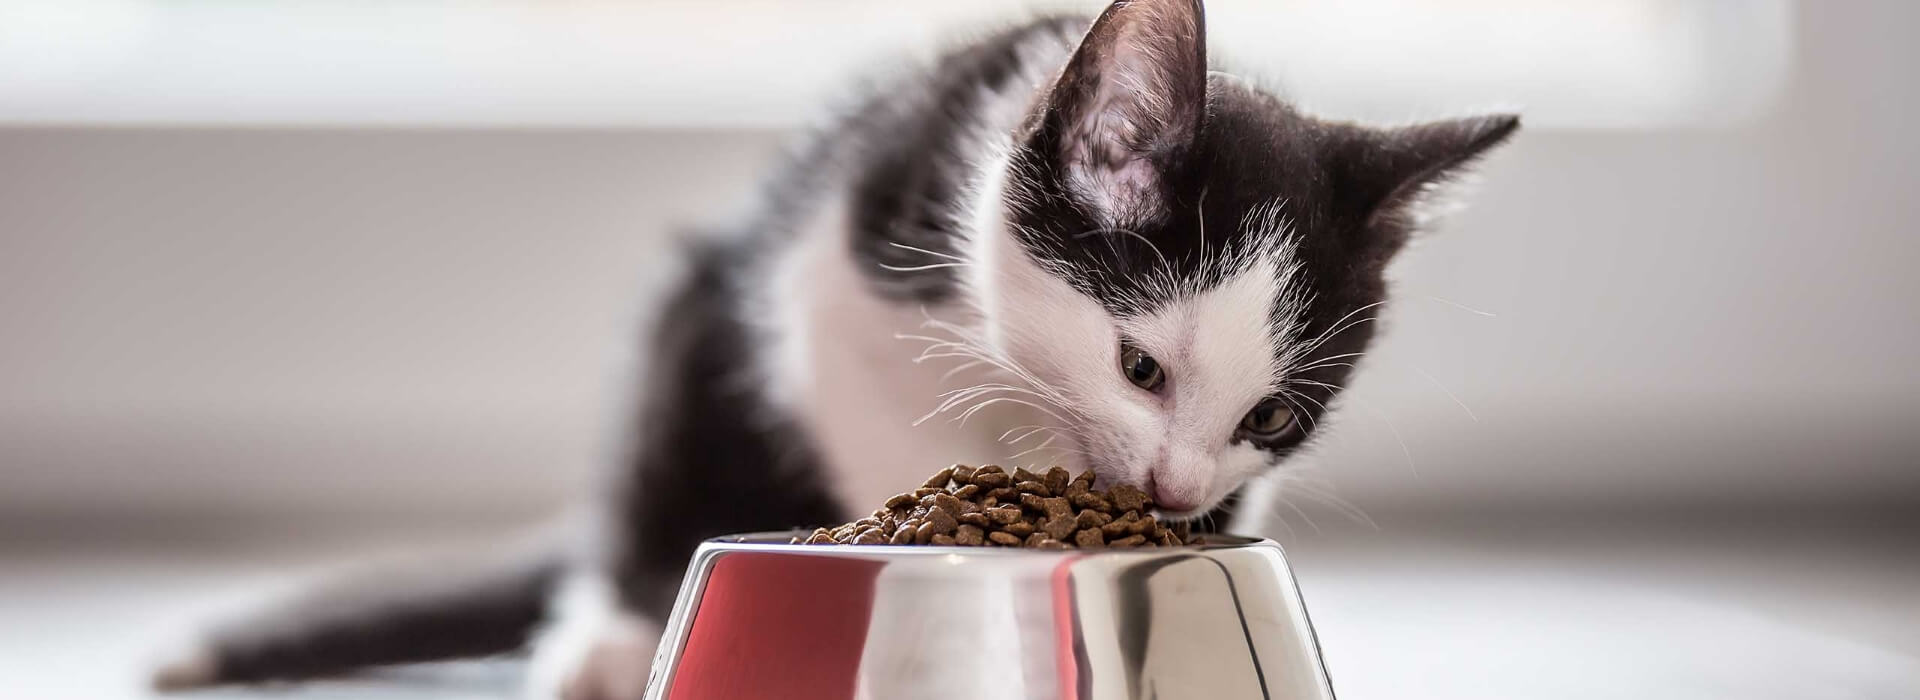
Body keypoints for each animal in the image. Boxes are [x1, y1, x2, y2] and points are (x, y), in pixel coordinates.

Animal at [149, 2, 1512, 694]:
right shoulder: (830, 283)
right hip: (697, 317)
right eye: (1141, 368)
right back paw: (607, 641)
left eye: (1272, 417)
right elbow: (870, 422)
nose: (1175, 493)